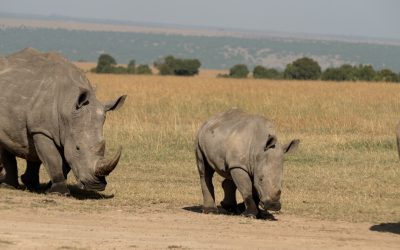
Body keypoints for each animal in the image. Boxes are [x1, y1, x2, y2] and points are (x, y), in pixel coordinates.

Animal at [0, 47, 126, 194]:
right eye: (78, 148)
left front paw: (49, 188)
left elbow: (65, 161)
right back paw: (9, 186)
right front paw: (59, 192)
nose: (97, 185)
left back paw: (31, 185)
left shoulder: (66, 132)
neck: (68, 107)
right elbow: (54, 159)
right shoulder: (43, 130)